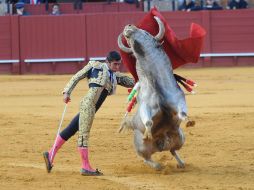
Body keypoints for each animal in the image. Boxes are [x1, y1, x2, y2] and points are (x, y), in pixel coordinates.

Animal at [118, 16, 188, 170]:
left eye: (146, 33)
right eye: (129, 43)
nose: (128, 27)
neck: (156, 83)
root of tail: (161, 145)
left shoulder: (178, 98)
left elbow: (183, 111)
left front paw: (188, 120)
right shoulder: (145, 106)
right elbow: (148, 121)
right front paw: (148, 134)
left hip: (180, 138)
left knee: (173, 150)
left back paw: (181, 163)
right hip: (141, 147)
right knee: (146, 158)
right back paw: (158, 166)